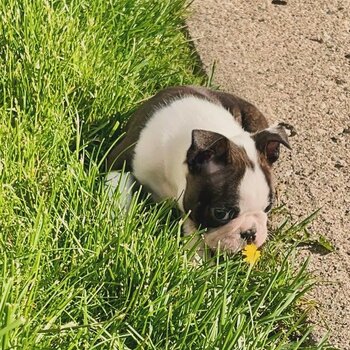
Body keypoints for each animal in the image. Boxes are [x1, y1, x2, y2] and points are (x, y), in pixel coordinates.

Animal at [106, 85, 292, 254]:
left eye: (268, 208)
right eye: (220, 213)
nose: (250, 233)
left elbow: (193, 227)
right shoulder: (118, 162)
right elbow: (119, 187)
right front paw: (119, 220)